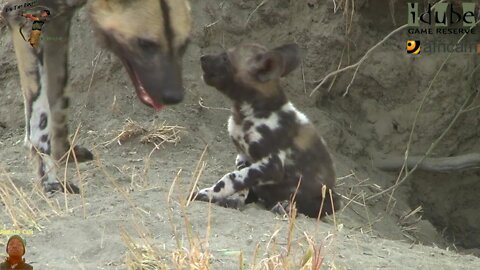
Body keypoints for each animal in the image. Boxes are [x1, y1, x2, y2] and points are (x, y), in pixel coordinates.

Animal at [0, 0, 191, 194]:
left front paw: (63, 154)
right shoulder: (25, 17)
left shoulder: (58, 21)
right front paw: (50, 182)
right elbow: (40, 119)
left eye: (184, 44)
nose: (174, 96)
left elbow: (58, 100)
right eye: (145, 44)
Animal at [195, 42, 342, 219]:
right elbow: (241, 183)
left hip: (331, 198)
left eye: (225, 58)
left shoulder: (272, 165)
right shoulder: (243, 158)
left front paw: (210, 193)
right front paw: (234, 199)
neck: (246, 113)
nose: (202, 57)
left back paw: (284, 206)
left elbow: (230, 178)